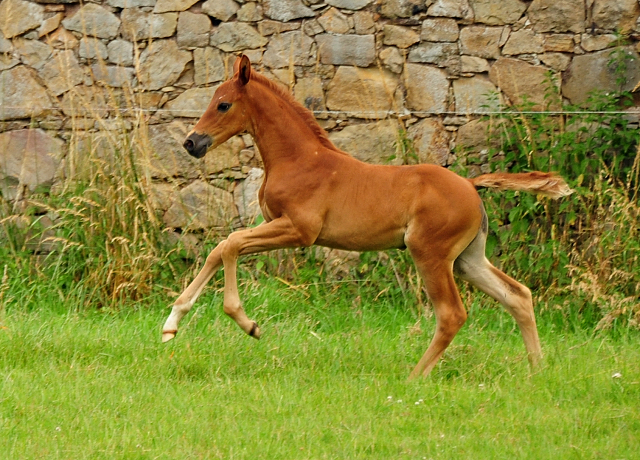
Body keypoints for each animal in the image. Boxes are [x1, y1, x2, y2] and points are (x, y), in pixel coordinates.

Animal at [162, 55, 572, 378]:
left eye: (223, 105)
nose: (191, 142)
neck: (299, 159)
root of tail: (471, 185)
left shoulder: (299, 230)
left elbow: (230, 244)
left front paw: (248, 324)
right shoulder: (276, 225)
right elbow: (220, 248)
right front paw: (171, 325)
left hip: (430, 254)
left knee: (452, 314)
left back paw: (415, 378)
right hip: (467, 259)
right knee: (517, 295)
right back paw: (538, 370)